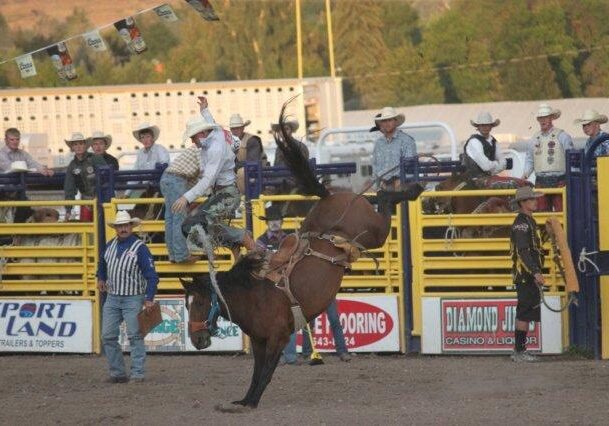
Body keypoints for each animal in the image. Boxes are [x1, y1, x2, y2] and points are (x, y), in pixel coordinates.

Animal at [180, 103, 422, 410]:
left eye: (200, 302)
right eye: (186, 305)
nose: (197, 339)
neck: (252, 294)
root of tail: (330, 196)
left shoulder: (277, 337)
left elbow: (267, 372)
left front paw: (252, 401)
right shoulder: (259, 341)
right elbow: (256, 371)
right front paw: (244, 399)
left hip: (374, 231)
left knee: (385, 198)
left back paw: (413, 189)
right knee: (380, 196)